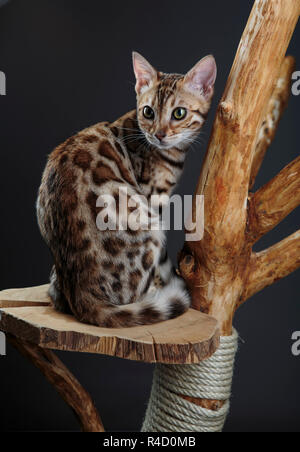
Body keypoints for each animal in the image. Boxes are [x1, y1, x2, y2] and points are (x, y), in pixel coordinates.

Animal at [36, 52, 217, 328]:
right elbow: (160, 265)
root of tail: (81, 293)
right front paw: (162, 282)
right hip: (149, 225)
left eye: (179, 113)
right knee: (132, 296)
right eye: (148, 112)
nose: (159, 134)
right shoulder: (153, 198)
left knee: (57, 296)